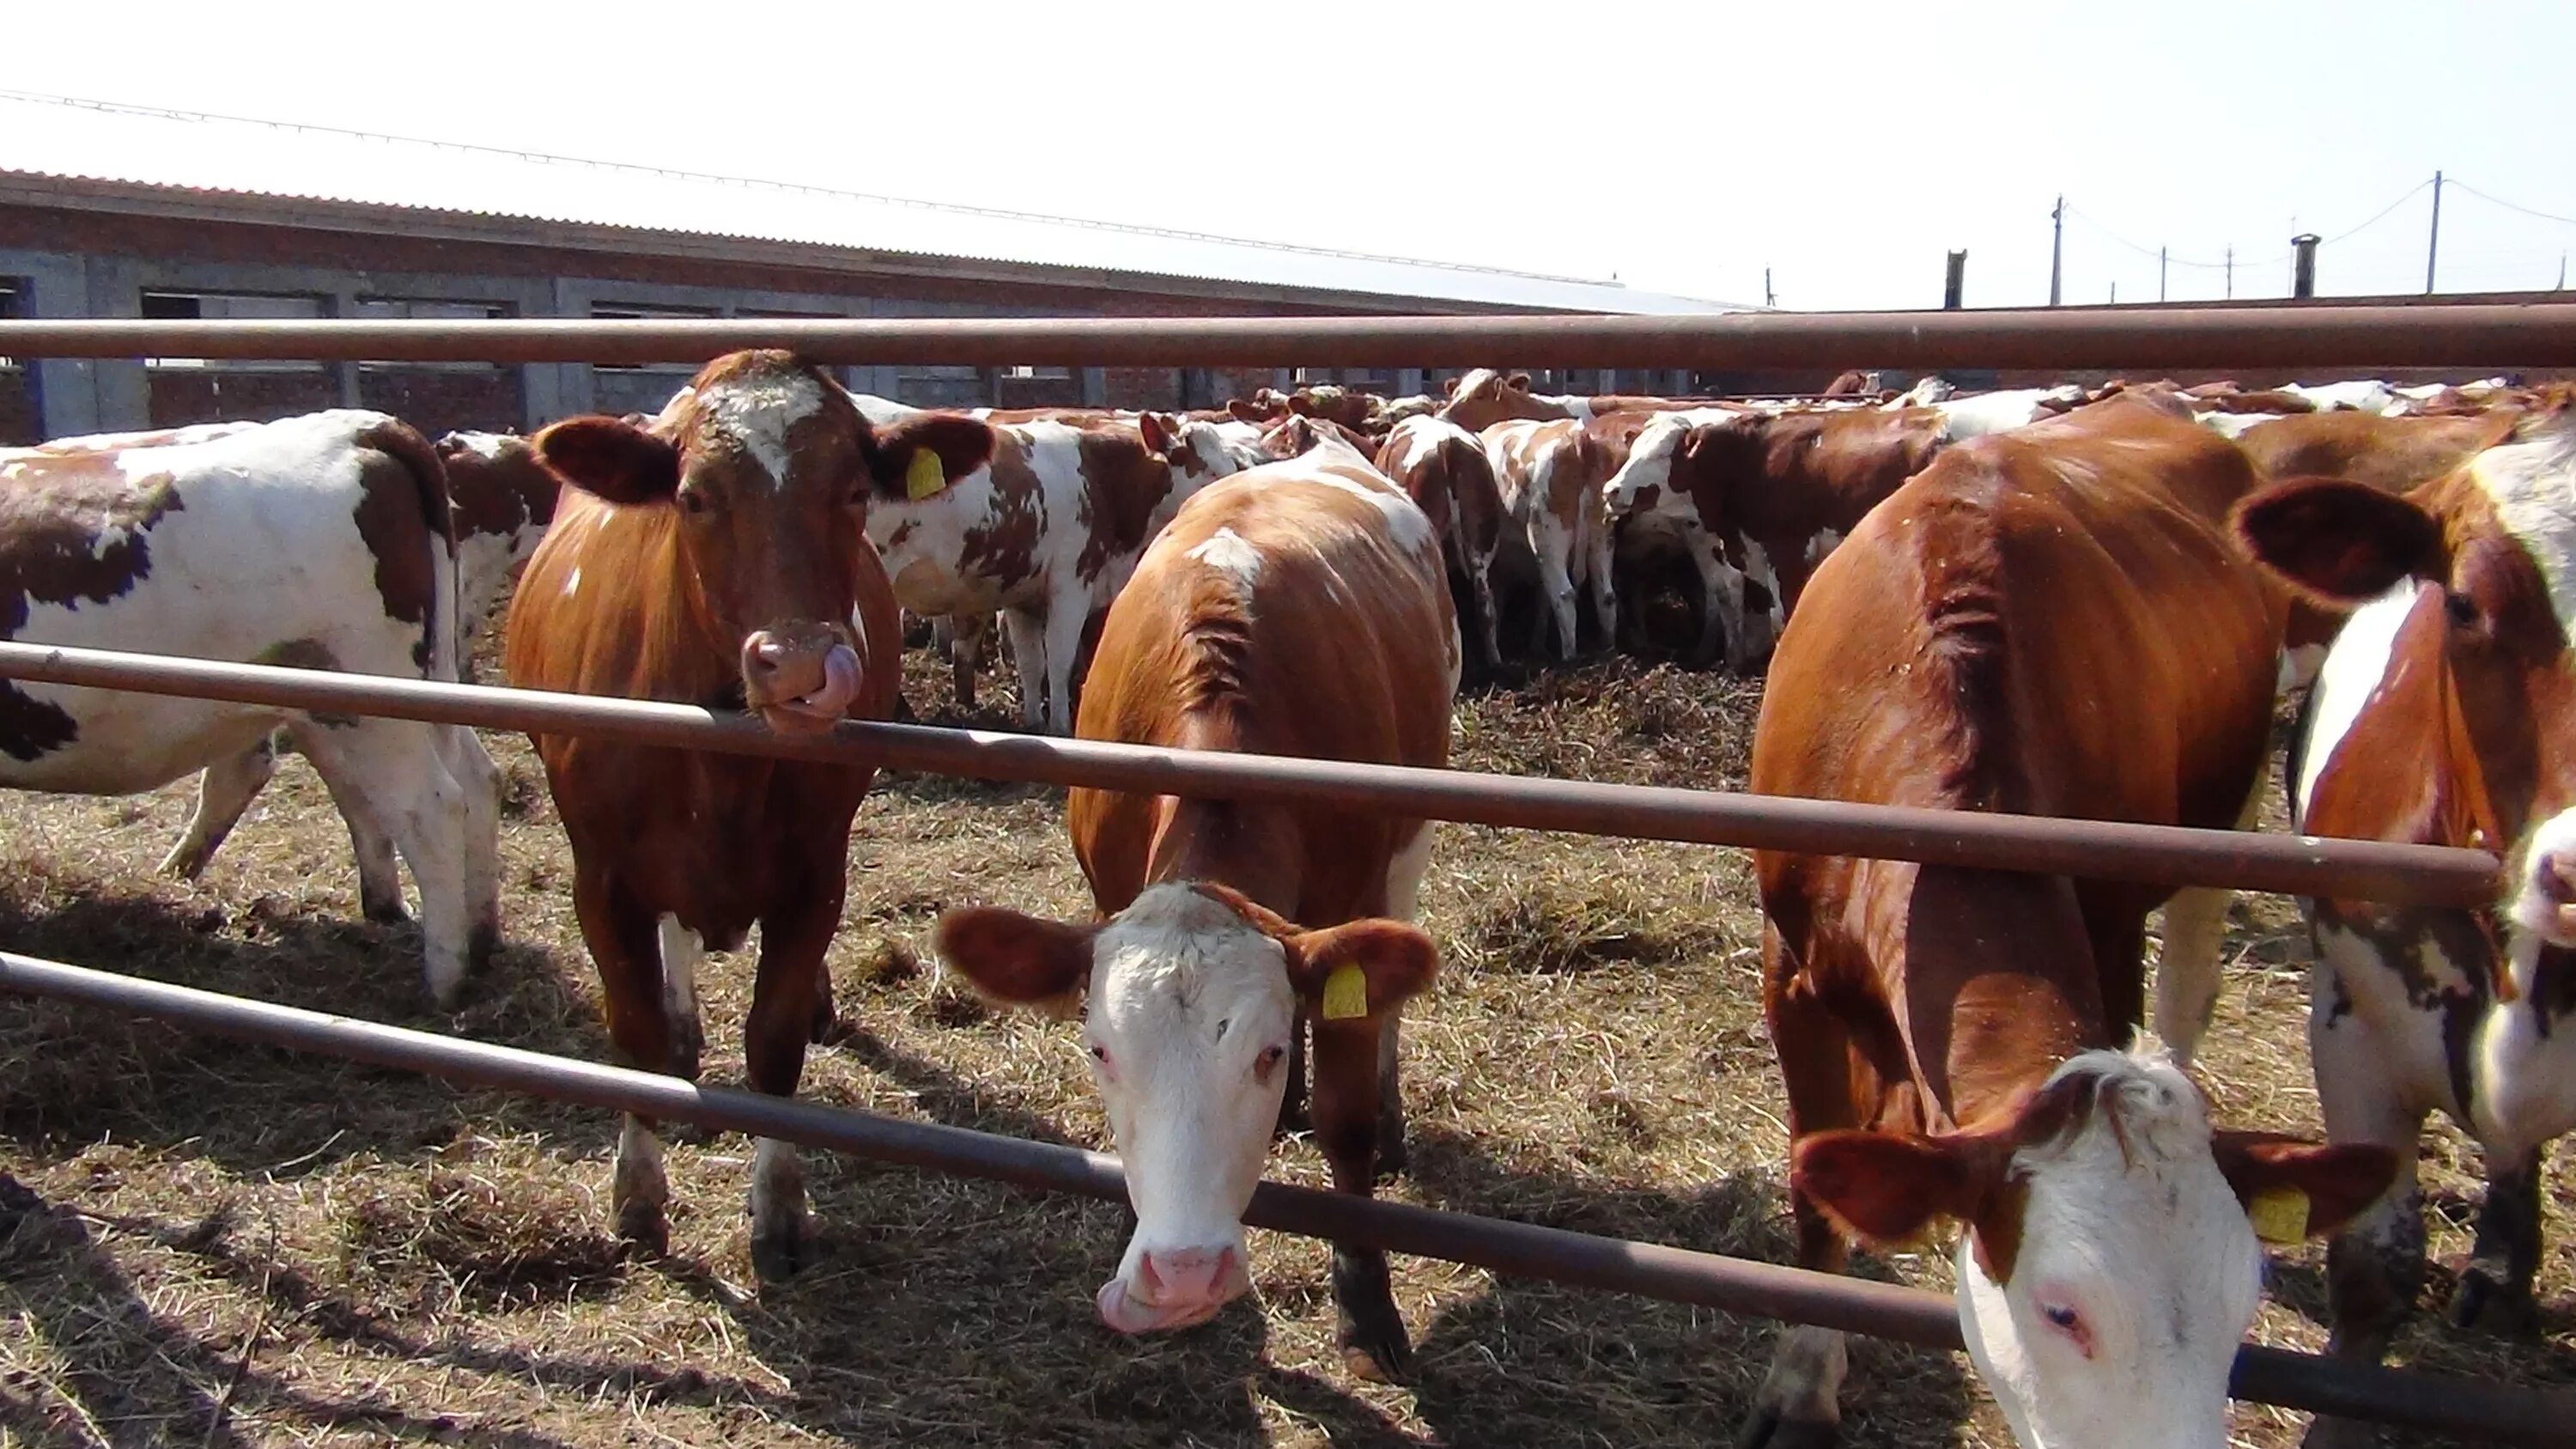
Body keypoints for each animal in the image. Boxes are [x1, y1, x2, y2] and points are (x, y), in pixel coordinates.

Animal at [0, 410, 502, 1005]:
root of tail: (356, 426)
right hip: (413, 690)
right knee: (472, 780)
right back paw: (479, 938)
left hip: (371, 704)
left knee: (430, 807)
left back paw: (444, 982)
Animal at [502, 350, 927, 1273]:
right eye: (693, 496)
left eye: (853, 490)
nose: (801, 666)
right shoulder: (602, 878)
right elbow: (632, 1033)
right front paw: (638, 1194)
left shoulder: (816, 873)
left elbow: (774, 1040)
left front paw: (780, 1203)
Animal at [1731, 389, 2391, 1433]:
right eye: (2061, 1309)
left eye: (2239, 1303)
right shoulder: (1790, 969)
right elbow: (1814, 1187)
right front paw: (1801, 1376)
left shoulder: (2109, 931)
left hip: (2230, 804)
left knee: (2192, 973)